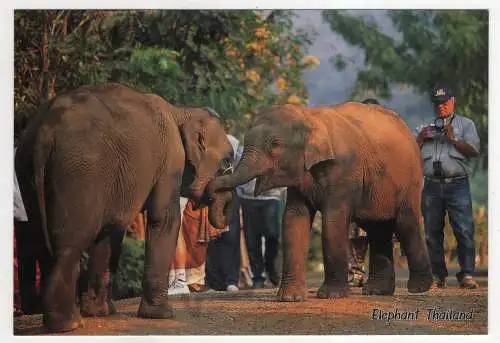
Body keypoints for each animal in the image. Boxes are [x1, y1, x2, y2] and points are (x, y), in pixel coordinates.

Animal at [15, 82, 233, 332]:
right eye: (227, 161)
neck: (179, 111)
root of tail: (44, 131)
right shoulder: (171, 160)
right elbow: (163, 219)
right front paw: (161, 315)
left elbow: (112, 230)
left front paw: (101, 312)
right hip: (80, 173)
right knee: (70, 243)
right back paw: (68, 324)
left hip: (27, 168)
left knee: (37, 237)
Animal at [208, 102, 434, 300]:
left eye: (275, 145)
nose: (225, 166)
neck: (309, 117)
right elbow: (293, 220)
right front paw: (289, 298)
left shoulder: (344, 171)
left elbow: (332, 221)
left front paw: (330, 296)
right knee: (377, 229)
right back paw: (377, 291)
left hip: (411, 180)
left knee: (405, 223)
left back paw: (418, 288)